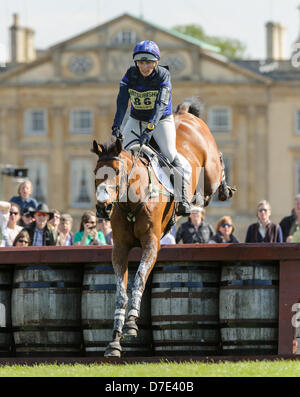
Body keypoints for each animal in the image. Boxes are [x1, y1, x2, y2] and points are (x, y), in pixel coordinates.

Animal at [91, 98, 234, 356]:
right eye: (95, 173)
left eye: (116, 172)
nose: (103, 208)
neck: (131, 201)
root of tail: (184, 114)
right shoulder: (119, 249)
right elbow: (120, 292)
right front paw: (114, 341)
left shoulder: (151, 244)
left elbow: (139, 279)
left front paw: (131, 324)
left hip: (209, 172)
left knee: (216, 171)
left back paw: (222, 189)